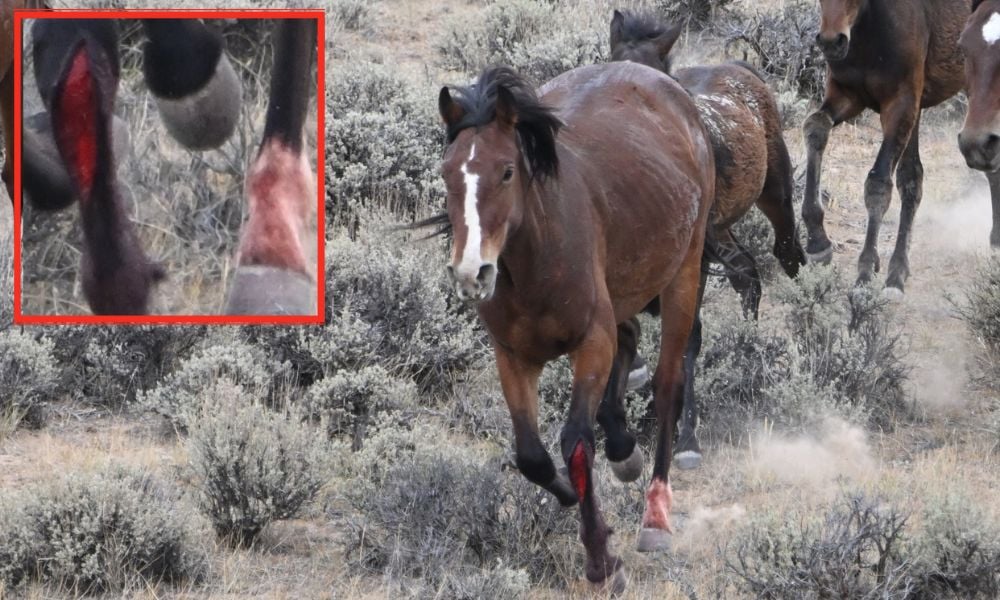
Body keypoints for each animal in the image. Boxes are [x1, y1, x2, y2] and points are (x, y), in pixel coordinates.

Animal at [434, 63, 715, 591]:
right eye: (447, 173)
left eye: (507, 170)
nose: (471, 273)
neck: (537, 262)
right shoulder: (513, 356)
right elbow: (532, 455)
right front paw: (572, 498)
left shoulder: (591, 342)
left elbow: (575, 444)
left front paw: (602, 561)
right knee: (631, 340)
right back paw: (624, 450)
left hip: (684, 272)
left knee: (668, 384)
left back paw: (655, 516)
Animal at [605, 9, 805, 470]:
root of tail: (739, 67)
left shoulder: (692, 266)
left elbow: (689, 340)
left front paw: (685, 440)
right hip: (723, 228)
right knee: (747, 272)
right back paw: (747, 346)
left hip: (775, 191)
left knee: (788, 253)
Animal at [803, 0, 973, 294]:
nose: (832, 41)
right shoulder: (847, 93)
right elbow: (816, 127)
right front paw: (817, 242)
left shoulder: (900, 103)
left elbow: (878, 182)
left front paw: (865, 271)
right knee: (913, 177)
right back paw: (898, 269)